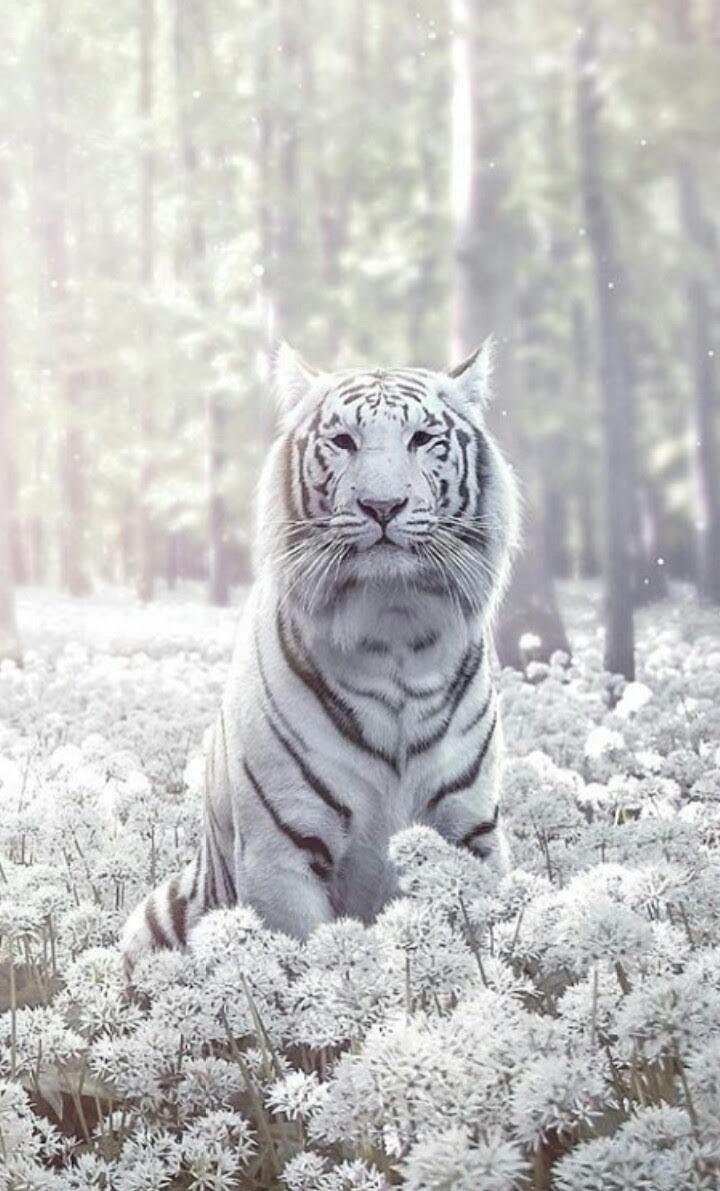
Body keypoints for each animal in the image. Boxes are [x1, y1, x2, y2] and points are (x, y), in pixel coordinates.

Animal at [121, 339, 519, 973]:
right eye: (343, 441)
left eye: (422, 439)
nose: (383, 505)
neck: (395, 635)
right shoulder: (282, 851)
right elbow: (308, 971)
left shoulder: (471, 835)